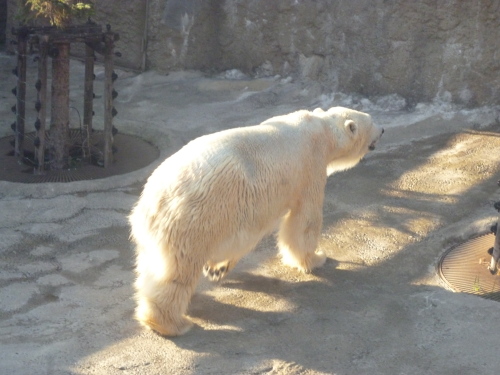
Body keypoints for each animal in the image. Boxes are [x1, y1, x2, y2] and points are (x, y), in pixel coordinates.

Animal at [129, 107, 382, 336]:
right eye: (372, 122)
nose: (383, 130)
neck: (321, 128)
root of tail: (151, 203)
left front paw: (217, 268)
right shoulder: (310, 170)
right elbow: (304, 221)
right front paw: (316, 258)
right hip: (192, 219)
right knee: (177, 273)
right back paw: (172, 324)